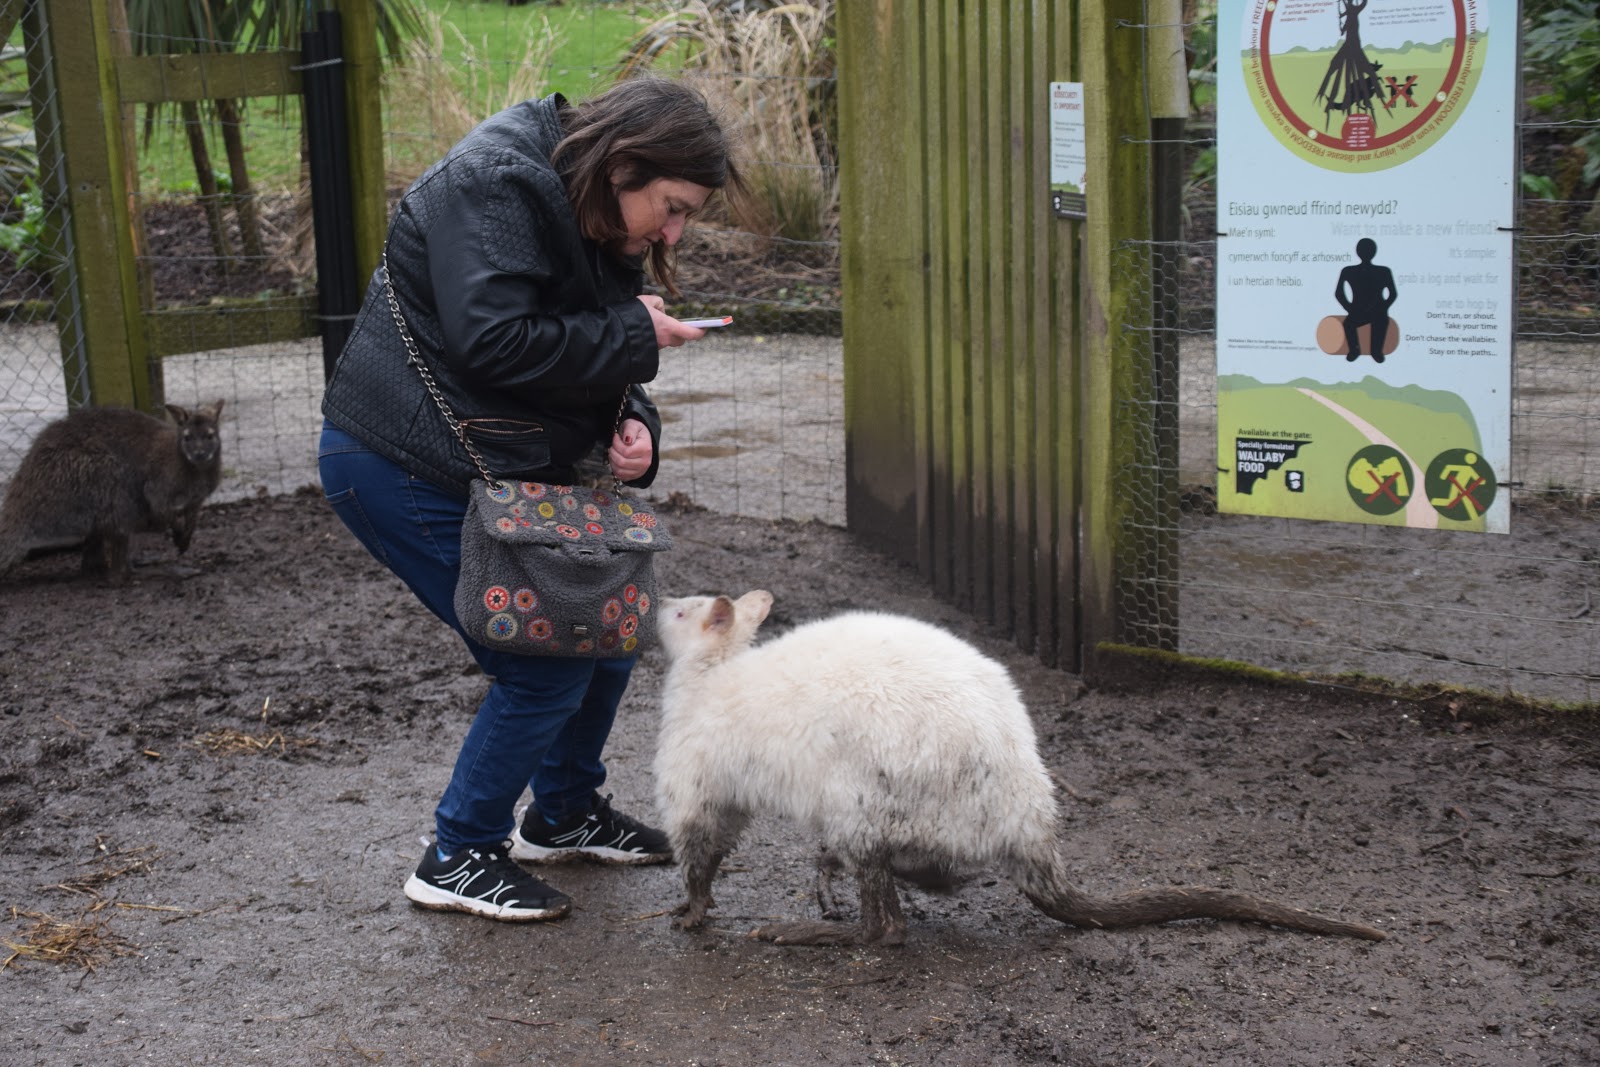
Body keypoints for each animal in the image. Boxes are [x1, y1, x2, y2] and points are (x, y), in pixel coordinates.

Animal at [0, 400, 225, 584]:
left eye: (210, 436)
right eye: (187, 438)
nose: (199, 454)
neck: (193, 468)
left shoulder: (196, 499)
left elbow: (192, 516)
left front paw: (184, 541)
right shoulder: (158, 487)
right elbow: (162, 509)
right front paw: (177, 534)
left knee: (94, 564)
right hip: (104, 482)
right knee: (117, 574)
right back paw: (168, 570)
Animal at [654, 591, 1386, 946]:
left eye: (681, 608)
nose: (653, 601)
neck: (713, 672)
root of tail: (1029, 823)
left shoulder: (698, 778)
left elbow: (701, 846)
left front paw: (691, 912)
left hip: (863, 796)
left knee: (885, 931)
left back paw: (805, 928)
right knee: (915, 889)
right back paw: (828, 882)